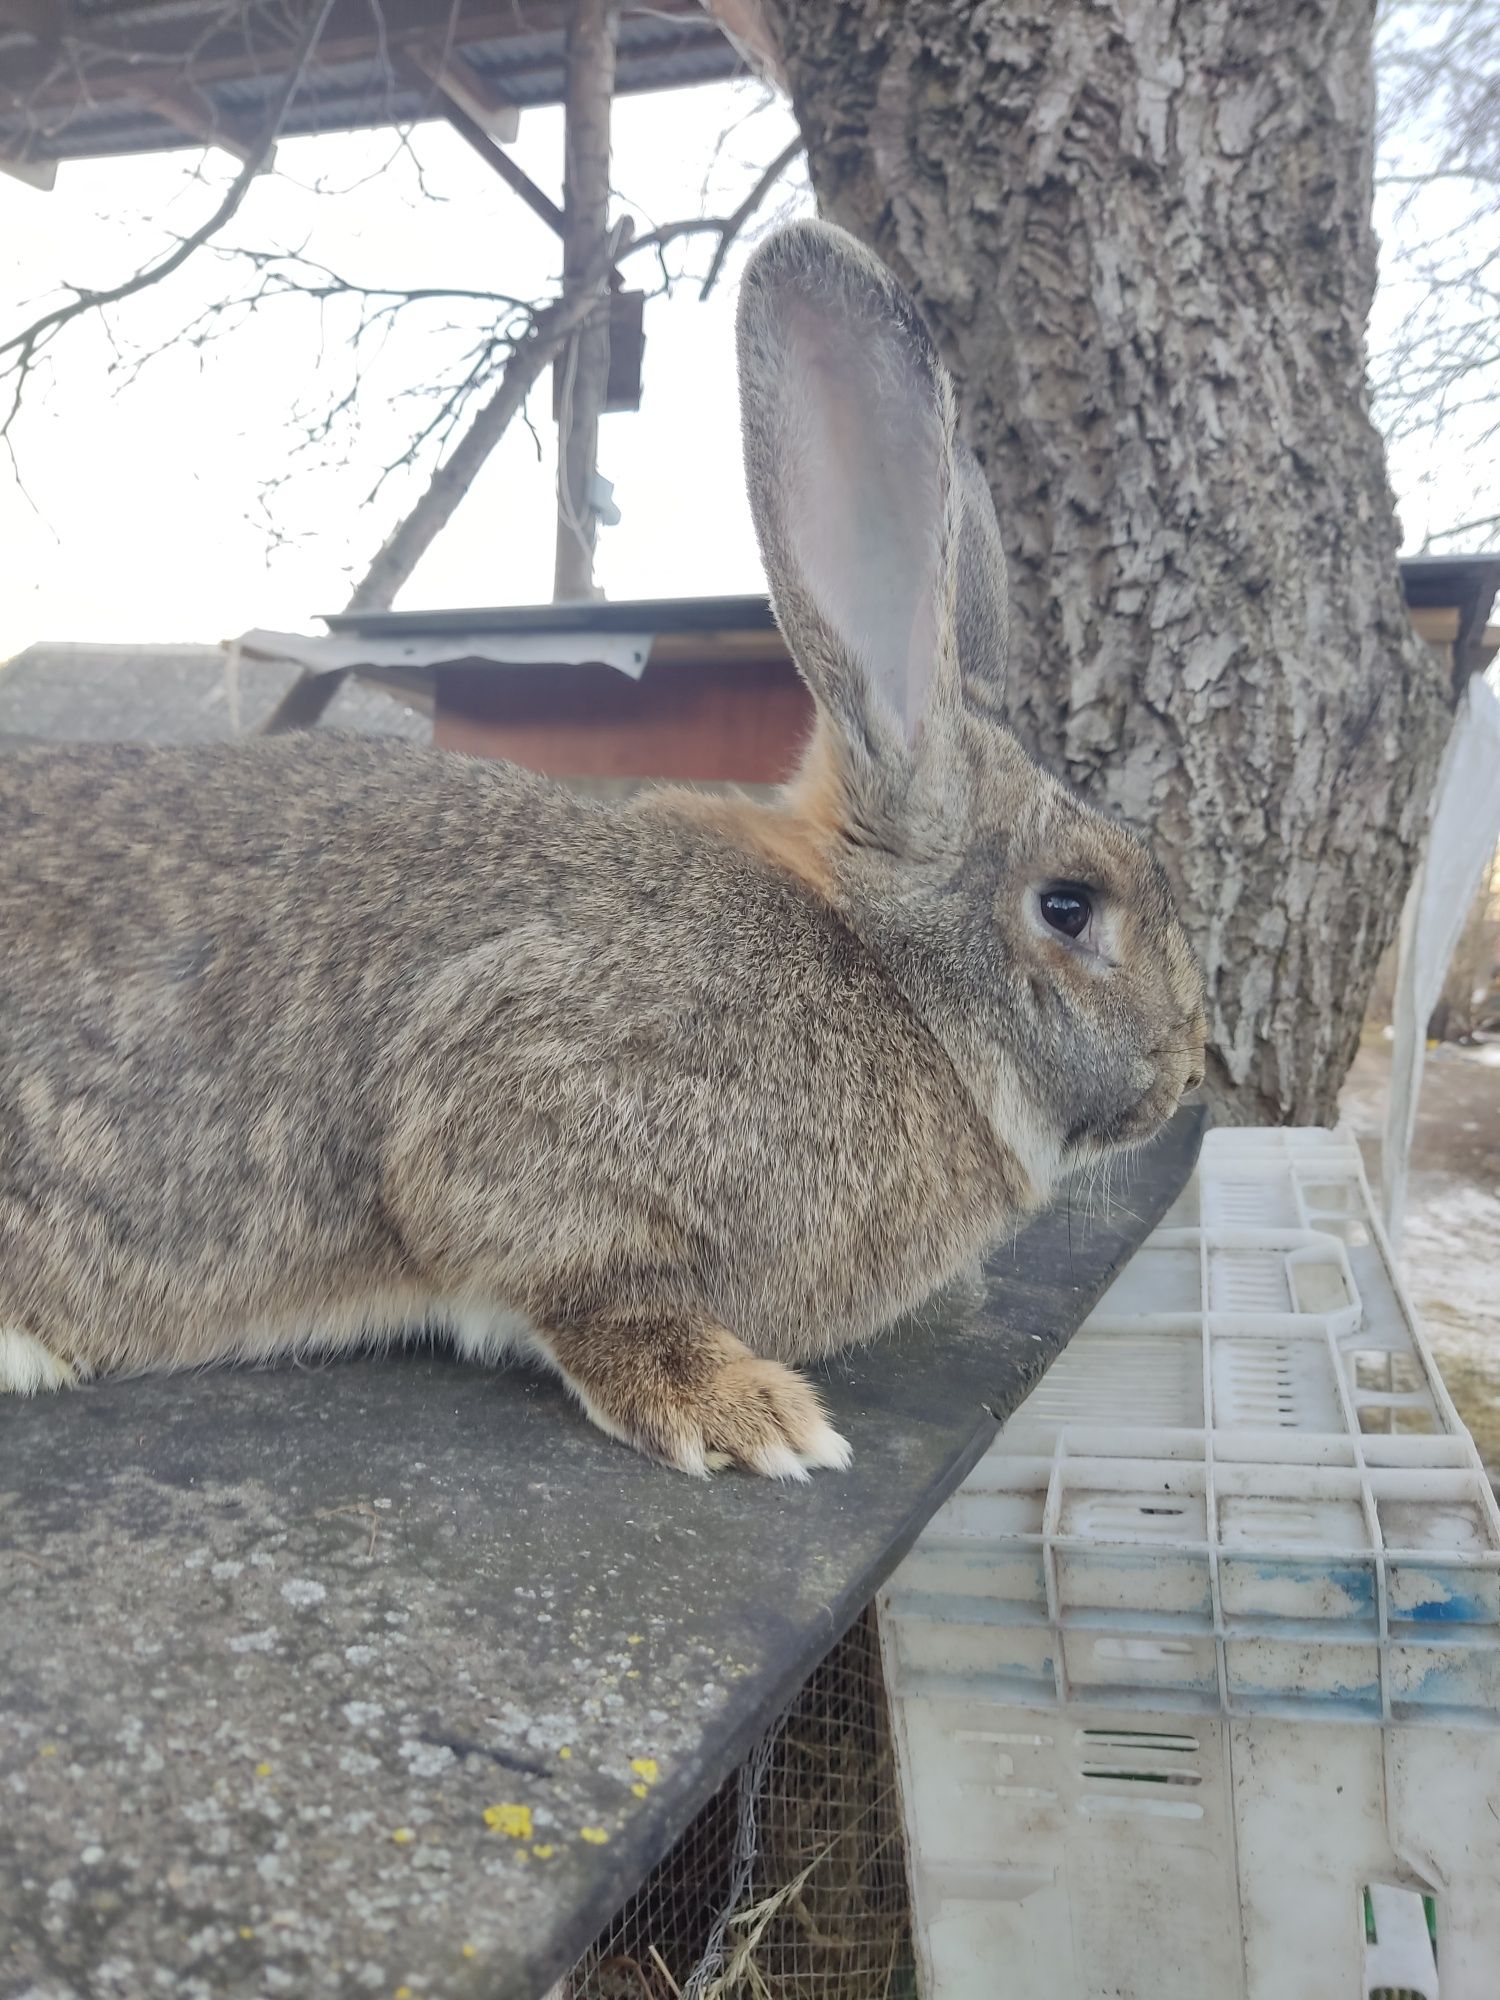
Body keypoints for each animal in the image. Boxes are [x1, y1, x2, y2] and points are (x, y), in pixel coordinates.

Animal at [0, 219, 1208, 1480]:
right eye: (1069, 905)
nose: (1188, 1069)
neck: (892, 979)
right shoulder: (530, 1100)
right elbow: (592, 1287)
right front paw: (744, 1412)